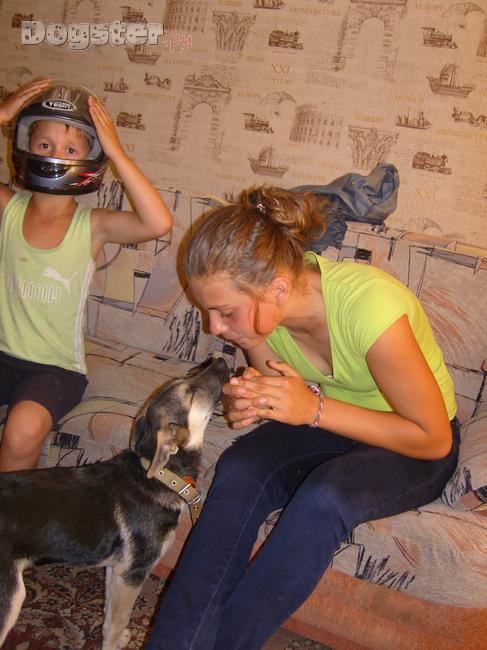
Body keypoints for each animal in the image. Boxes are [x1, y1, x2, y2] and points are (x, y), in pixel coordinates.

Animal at [0, 356, 230, 649]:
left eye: (187, 378)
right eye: (190, 392)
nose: (219, 358)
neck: (162, 476)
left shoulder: (116, 571)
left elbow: (109, 615)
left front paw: (120, 639)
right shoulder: (134, 573)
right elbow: (117, 620)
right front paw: (115, 642)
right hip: (10, 598)